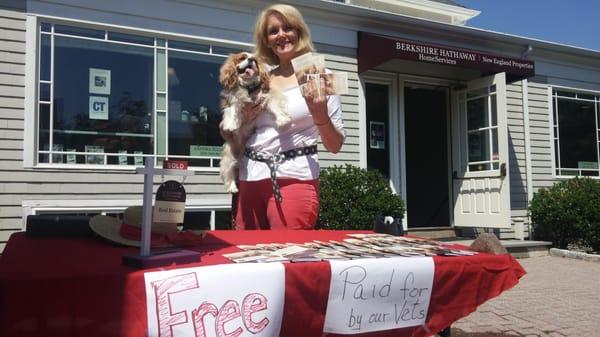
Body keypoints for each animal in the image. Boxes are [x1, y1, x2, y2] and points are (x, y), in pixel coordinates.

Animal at [218, 51, 290, 193]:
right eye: (242, 57)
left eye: (255, 60)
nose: (251, 59)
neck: (247, 87)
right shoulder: (231, 100)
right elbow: (232, 109)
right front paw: (231, 125)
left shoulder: (266, 95)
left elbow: (275, 105)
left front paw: (282, 119)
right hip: (228, 156)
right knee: (228, 173)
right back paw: (232, 187)